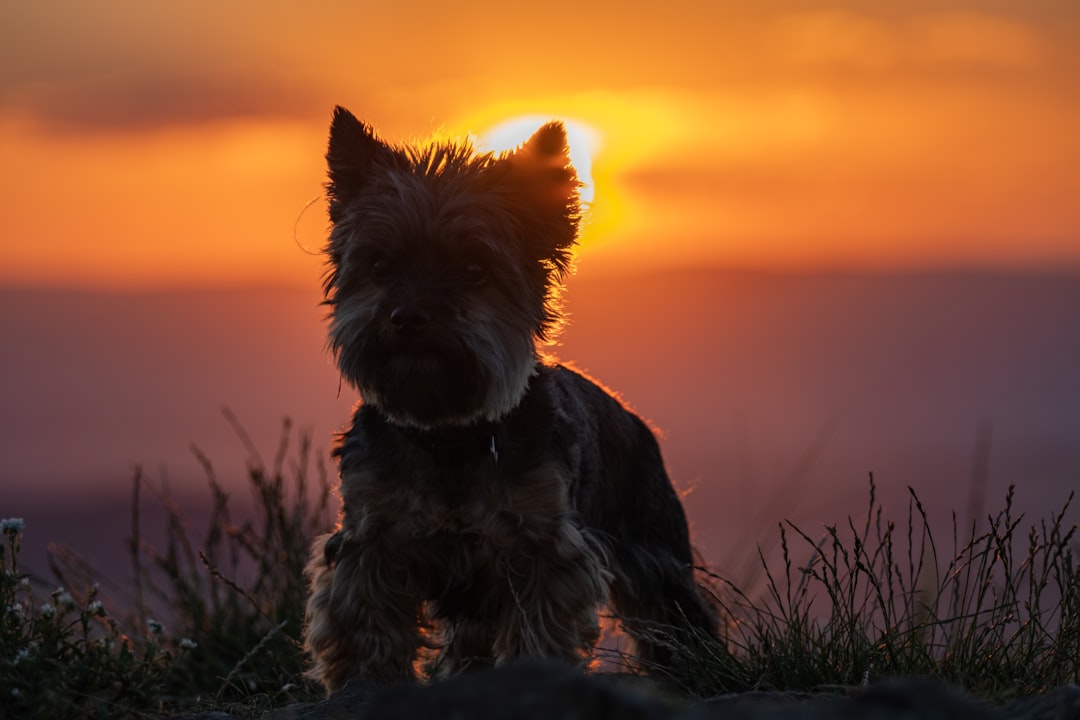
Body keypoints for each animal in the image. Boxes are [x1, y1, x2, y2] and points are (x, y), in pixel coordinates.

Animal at [302, 108, 717, 690]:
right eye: (380, 267)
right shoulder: (371, 534)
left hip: (651, 541)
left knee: (673, 614)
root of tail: (635, 420)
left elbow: (538, 623)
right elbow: (367, 622)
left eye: (475, 270)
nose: (408, 317)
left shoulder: (542, 542)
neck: (450, 434)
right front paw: (370, 684)